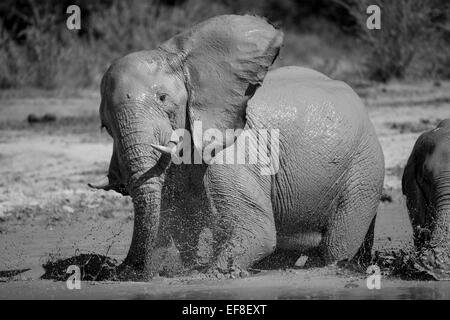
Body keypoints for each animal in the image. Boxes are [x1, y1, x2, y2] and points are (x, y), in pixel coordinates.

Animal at [89, 15, 384, 280]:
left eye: (163, 99)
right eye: (105, 125)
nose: (123, 271)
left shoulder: (233, 154)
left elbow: (257, 231)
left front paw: (207, 275)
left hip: (363, 168)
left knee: (338, 243)